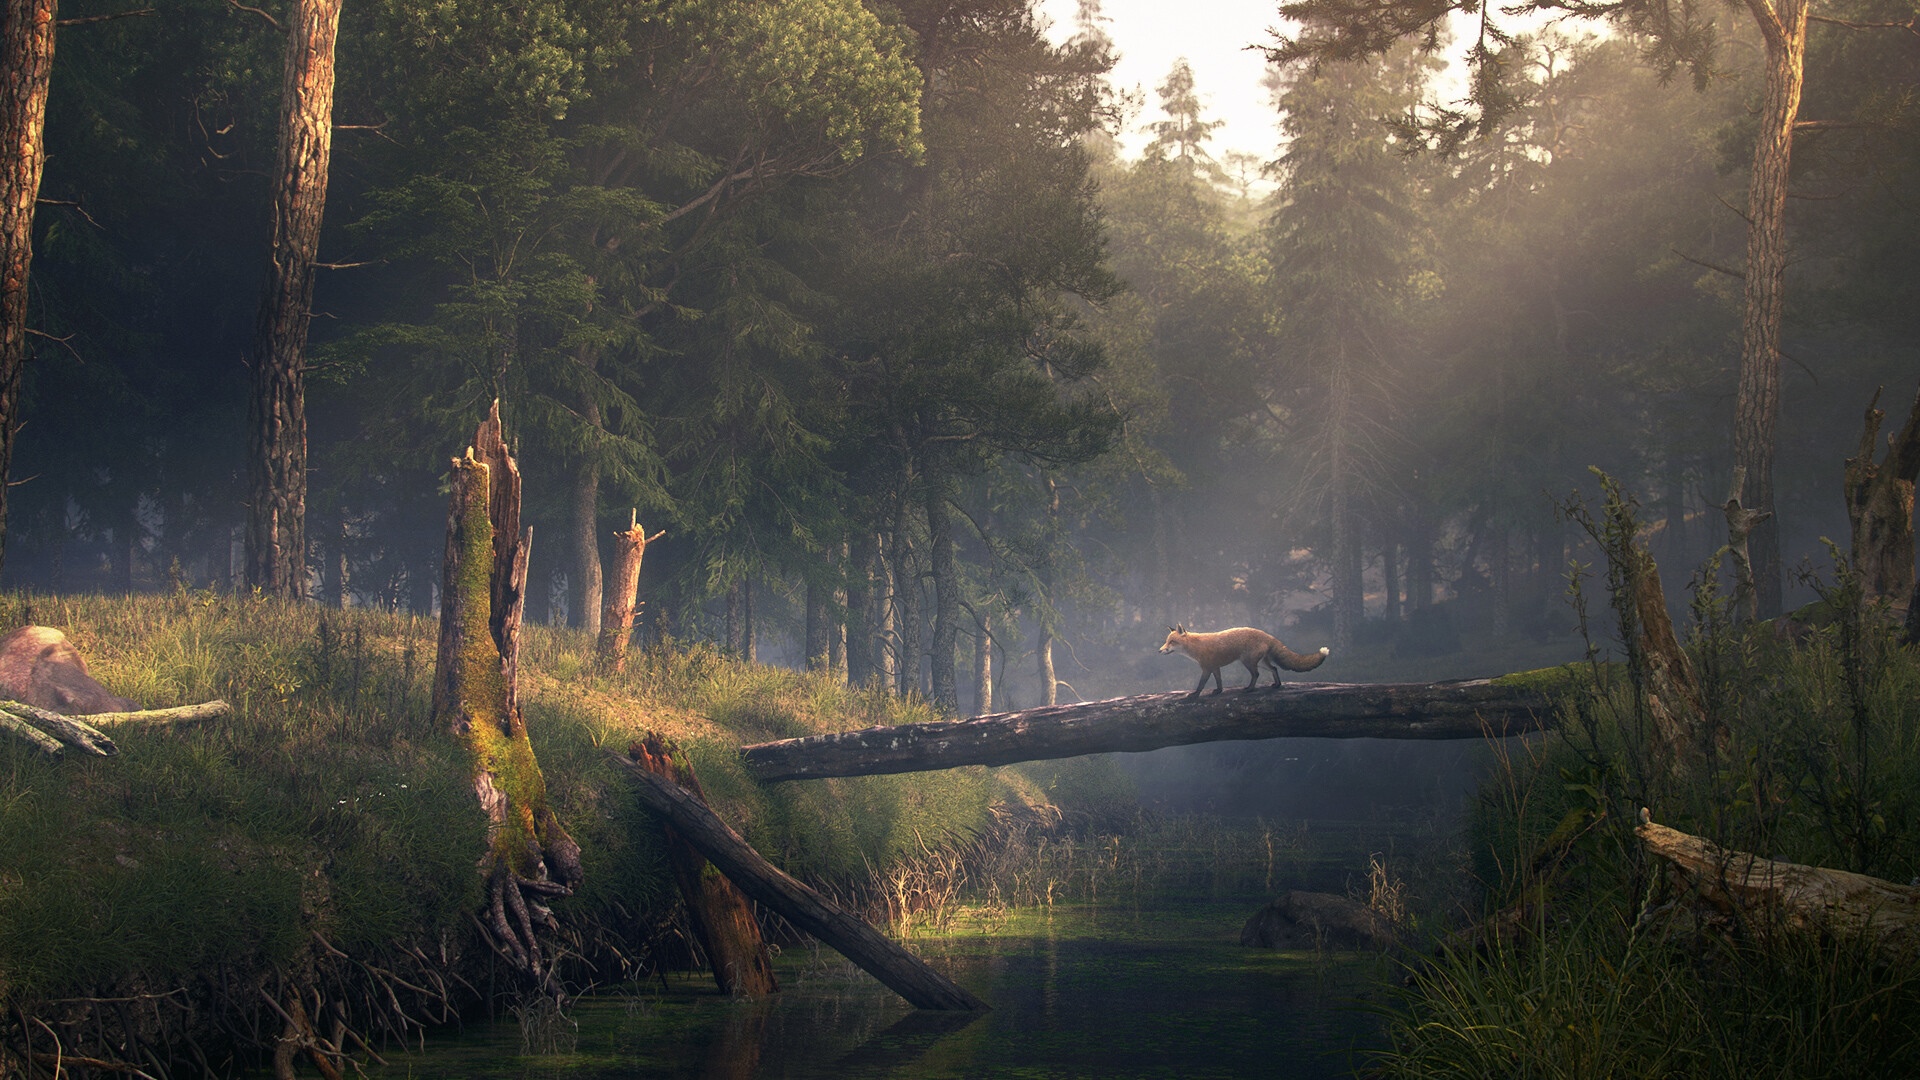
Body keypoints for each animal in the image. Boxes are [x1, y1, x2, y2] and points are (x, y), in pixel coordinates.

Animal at [1159, 625, 1329, 700]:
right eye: (1166, 641)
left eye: (1172, 642)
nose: (1160, 651)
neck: (1196, 646)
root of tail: (1267, 635)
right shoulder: (1215, 667)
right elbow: (1219, 682)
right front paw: (1218, 691)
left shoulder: (1207, 668)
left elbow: (1201, 684)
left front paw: (1194, 694)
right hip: (1260, 662)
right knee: (1274, 668)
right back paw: (1277, 685)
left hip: (1248, 662)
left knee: (1257, 674)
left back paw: (1250, 689)